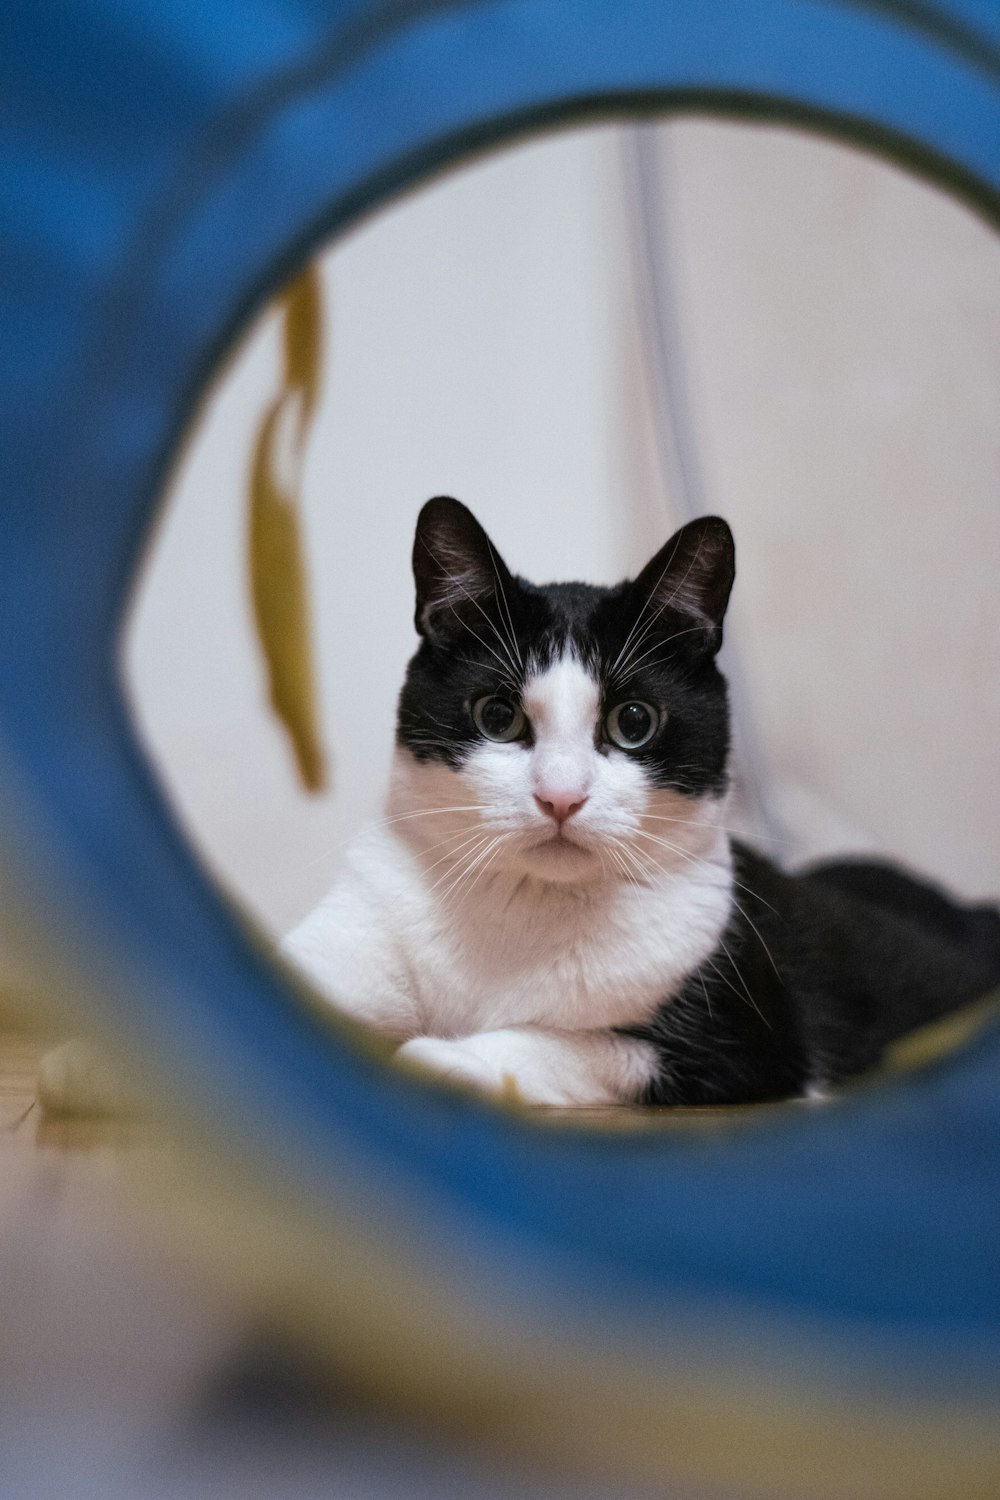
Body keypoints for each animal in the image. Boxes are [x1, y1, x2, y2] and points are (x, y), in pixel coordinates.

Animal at [281, 498, 1000, 1110]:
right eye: (497, 716)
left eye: (633, 722)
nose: (560, 797)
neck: (524, 907)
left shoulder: (750, 1045)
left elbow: (587, 1047)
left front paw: (450, 1056)